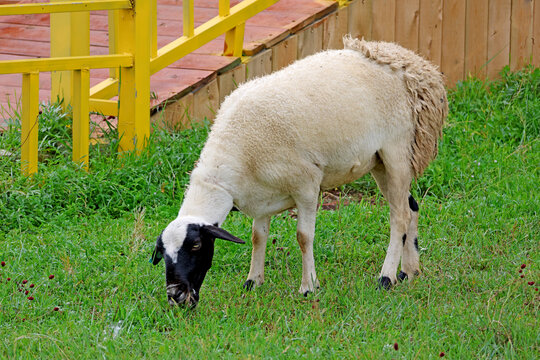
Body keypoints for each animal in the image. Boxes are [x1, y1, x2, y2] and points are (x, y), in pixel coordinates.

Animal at [151, 36, 448, 306]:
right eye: (163, 253)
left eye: (196, 245)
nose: (176, 295)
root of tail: (410, 64)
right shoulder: (261, 193)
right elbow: (258, 237)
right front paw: (253, 281)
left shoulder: (306, 184)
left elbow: (304, 238)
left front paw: (309, 287)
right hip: (379, 161)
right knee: (410, 207)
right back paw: (409, 271)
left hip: (397, 149)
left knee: (399, 217)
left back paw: (386, 277)